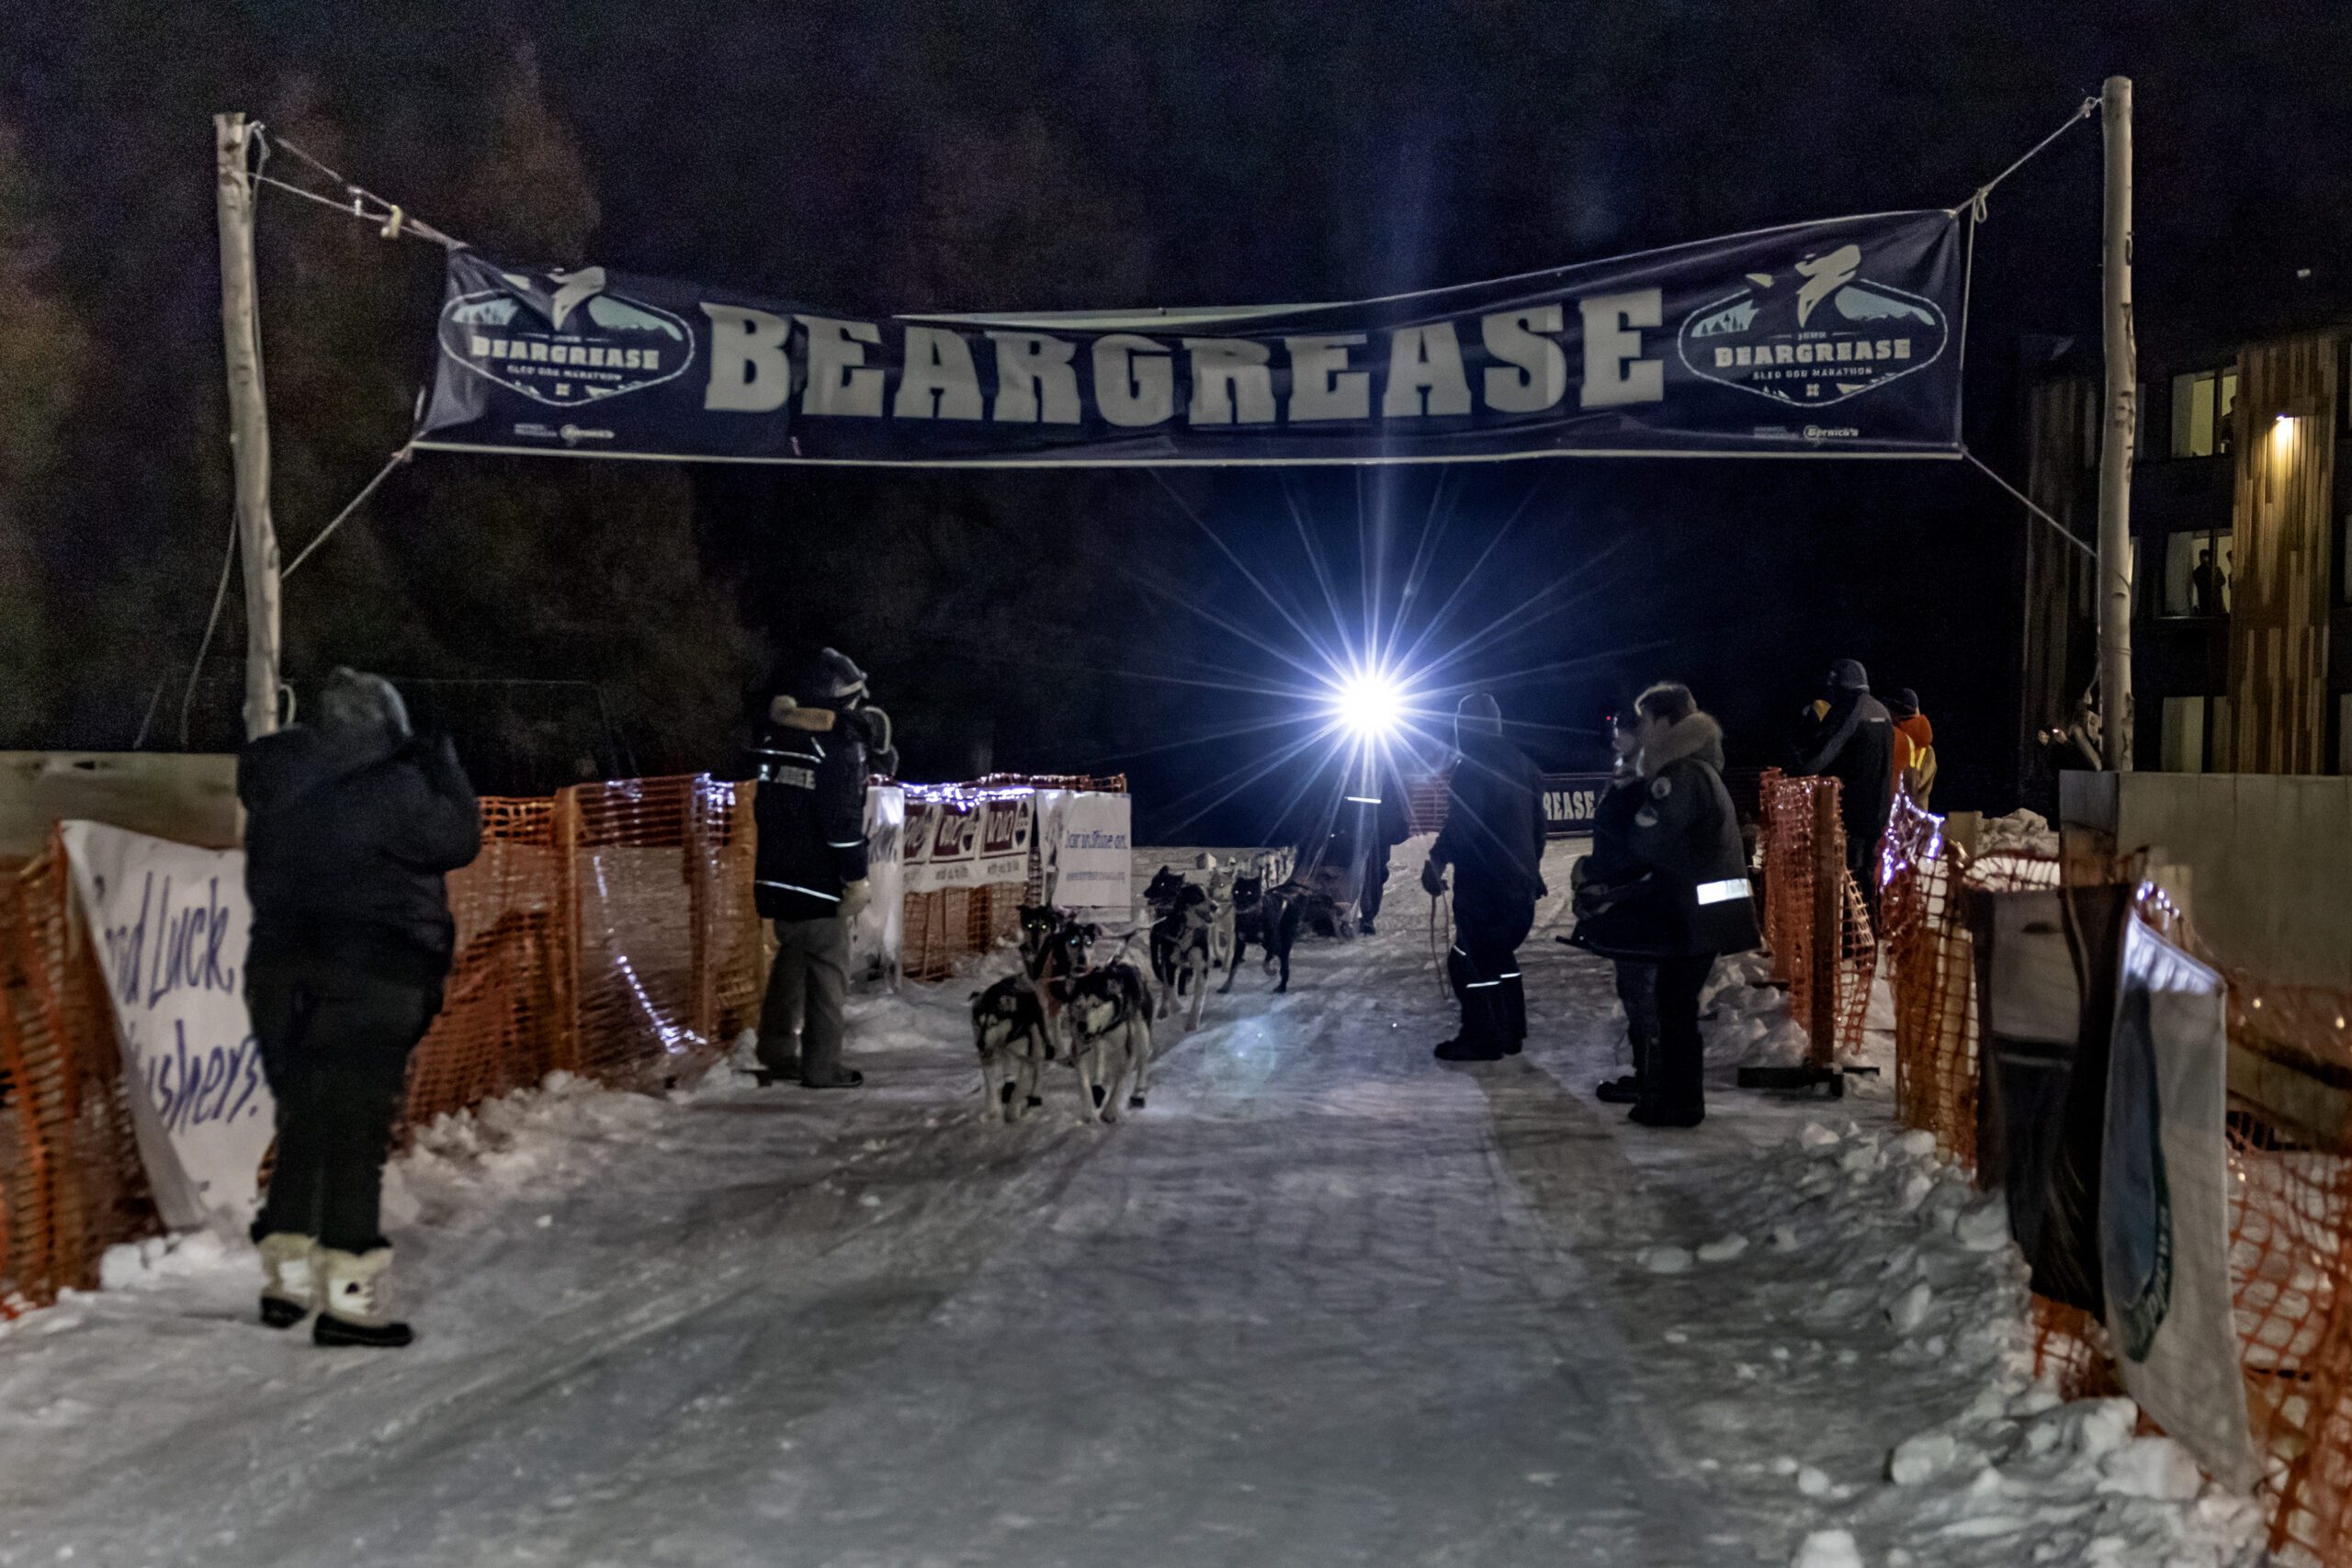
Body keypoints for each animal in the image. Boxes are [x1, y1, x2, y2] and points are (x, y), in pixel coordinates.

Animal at [968, 973, 1053, 1123]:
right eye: (978, 1022)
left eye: (993, 1023)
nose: (980, 1044)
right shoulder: (988, 1057)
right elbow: (990, 1084)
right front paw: (993, 1110)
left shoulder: (1026, 1057)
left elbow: (1019, 1088)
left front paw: (1012, 1112)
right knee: (1007, 1067)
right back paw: (1008, 1086)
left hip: (1036, 1043)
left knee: (1038, 1067)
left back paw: (1035, 1096)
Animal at [1063, 959, 1152, 1114]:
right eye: (1078, 1005)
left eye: (1096, 1005)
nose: (1081, 1025)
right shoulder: (1080, 1044)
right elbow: (1083, 1081)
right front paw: (1089, 1111)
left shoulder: (1127, 1047)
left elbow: (1120, 1080)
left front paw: (1110, 1111)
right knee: (1100, 1054)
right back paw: (1098, 1086)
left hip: (1142, 1029)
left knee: (1142, 1058)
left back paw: (1138, 1093)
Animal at [1223, 869, 1317, 991]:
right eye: (1237, 891)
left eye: (1249, 893)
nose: (1238, 904)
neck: (1251, 917)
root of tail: (1288, 897)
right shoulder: (1240, 944)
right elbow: (1233, 967)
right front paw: (1226, 986)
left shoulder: (1272, 943)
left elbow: (1265, 963)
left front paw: (1271, 971)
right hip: (1269, 945)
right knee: (1280, 957)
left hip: (1283, 941)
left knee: (1284, 962)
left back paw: (1282, 987)